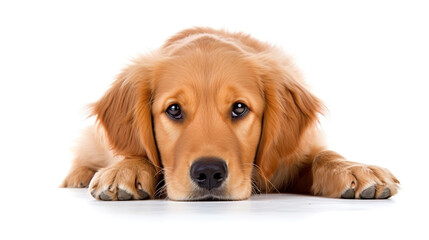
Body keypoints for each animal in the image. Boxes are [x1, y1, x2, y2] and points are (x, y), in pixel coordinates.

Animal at [61, 27, 400, 201]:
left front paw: (356, 169)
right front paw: (125, 169)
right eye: (174, 109)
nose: (209, 173)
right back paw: (79, 176)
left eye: (239, 107)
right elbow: (136, 152)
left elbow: (323, 155)